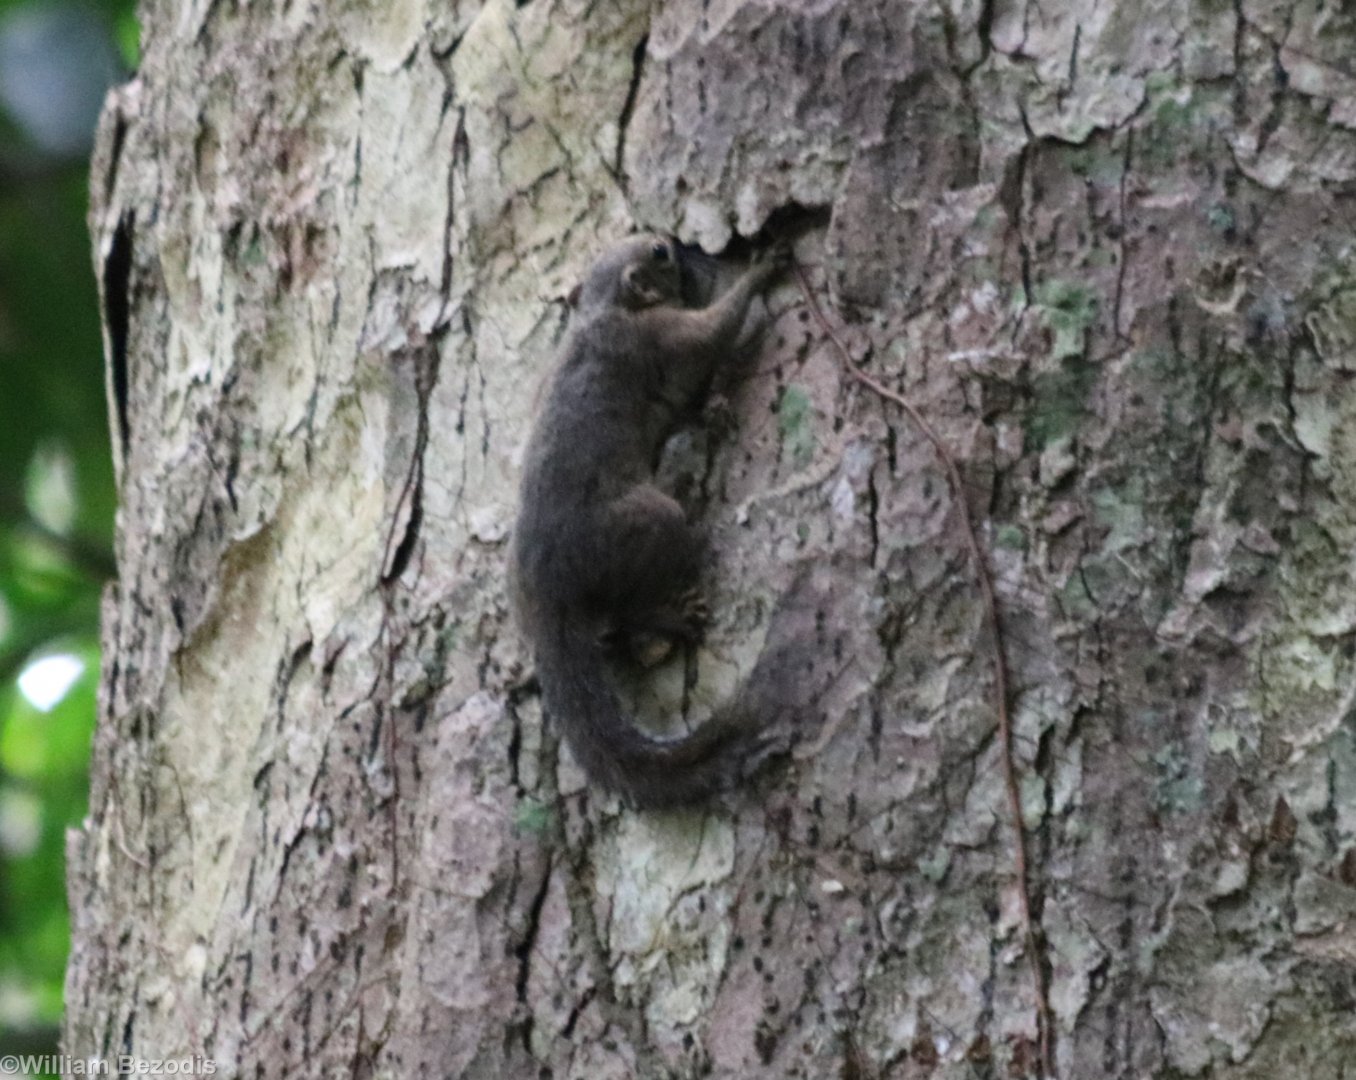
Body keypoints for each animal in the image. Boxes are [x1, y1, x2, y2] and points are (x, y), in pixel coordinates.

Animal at [510, 233, 789, 809]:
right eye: (659, 254)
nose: (679, 242)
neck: (607, 309)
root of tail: (547, 594)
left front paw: (713, 409)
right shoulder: (658, 337)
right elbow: (713, 330)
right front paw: (763, 266)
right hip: (646, 524)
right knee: (630, 607)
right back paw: (674, 616)